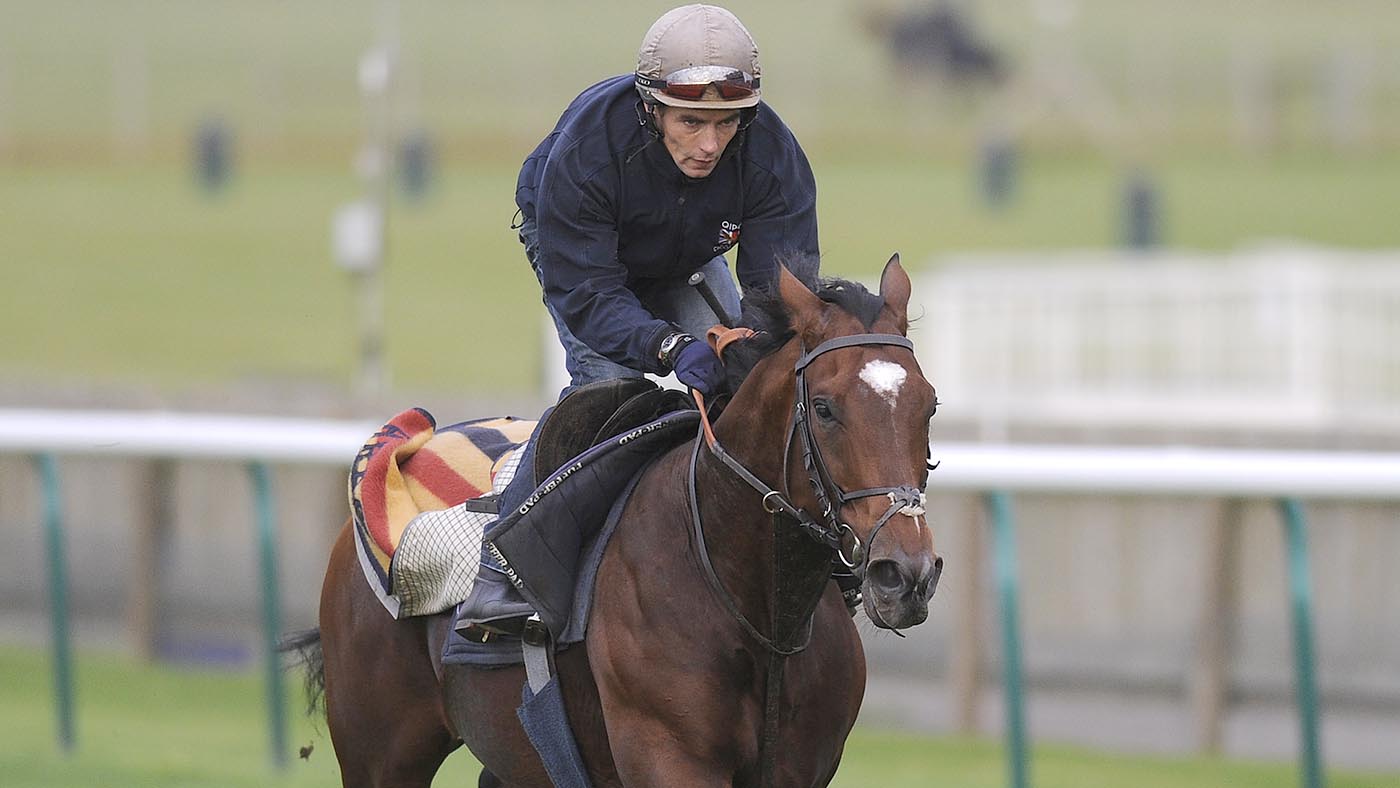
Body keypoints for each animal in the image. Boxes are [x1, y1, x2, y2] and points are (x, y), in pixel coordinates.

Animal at [285, 256, 946, 783]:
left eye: (930, 404)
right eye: (826, 408)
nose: (904, 574)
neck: (754, 603)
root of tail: (399, 447)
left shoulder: (801, 766)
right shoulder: (669, 755)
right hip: (380, 750)